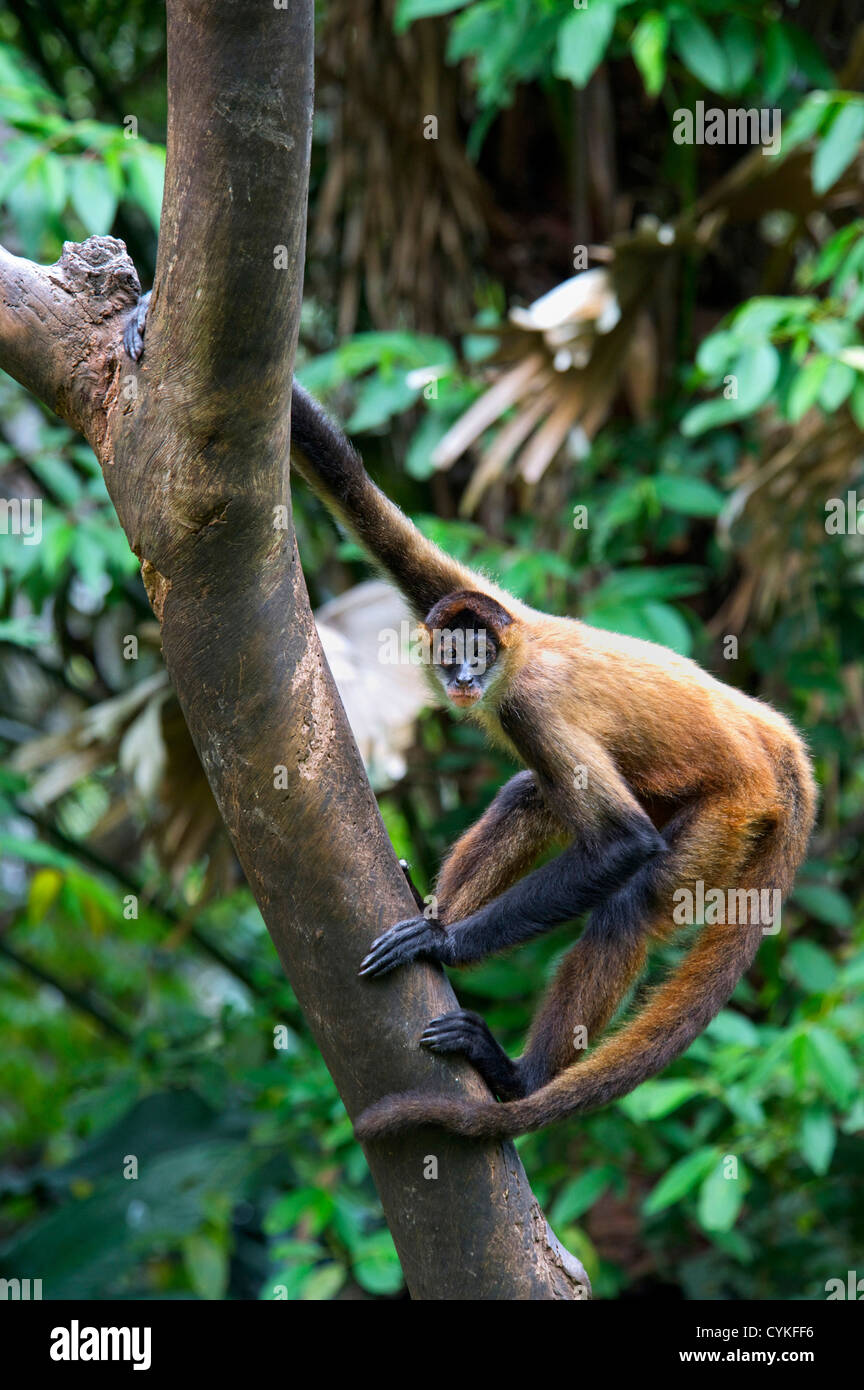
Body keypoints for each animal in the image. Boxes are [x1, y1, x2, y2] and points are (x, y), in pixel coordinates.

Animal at [123, 293, 816, 1139]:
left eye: (475, 657)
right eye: (450, 648)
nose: (460, 673)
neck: (520, 652)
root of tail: (772, 738)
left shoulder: (527, 701)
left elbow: (623, 845)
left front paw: (444, 943)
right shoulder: (475, 601)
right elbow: (359, 494)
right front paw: (139, 319)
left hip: (733, 809)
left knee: (631, 897)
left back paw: (517, 1074)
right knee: (530, 796)